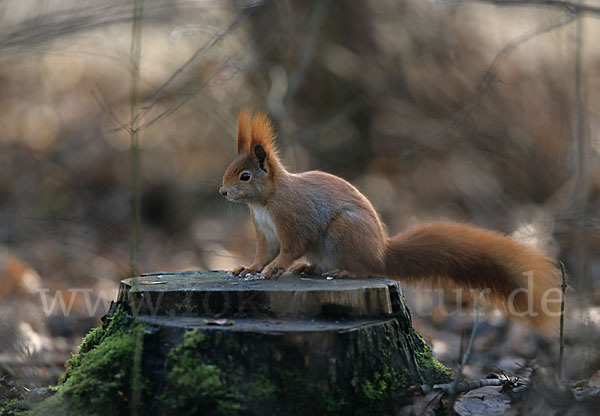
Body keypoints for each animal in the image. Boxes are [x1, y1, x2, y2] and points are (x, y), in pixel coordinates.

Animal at [219, 111, 564, 332]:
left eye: (245, 176)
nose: (222, 191)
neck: (265, 202)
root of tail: (381, 252)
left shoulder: (294, 220)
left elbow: (291, 248)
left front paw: (277, 268)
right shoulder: (265, 232)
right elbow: (263, 253)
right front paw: (248, 268)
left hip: (345, 231)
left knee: (364, 268)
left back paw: (343, 271)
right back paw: (310, 268)